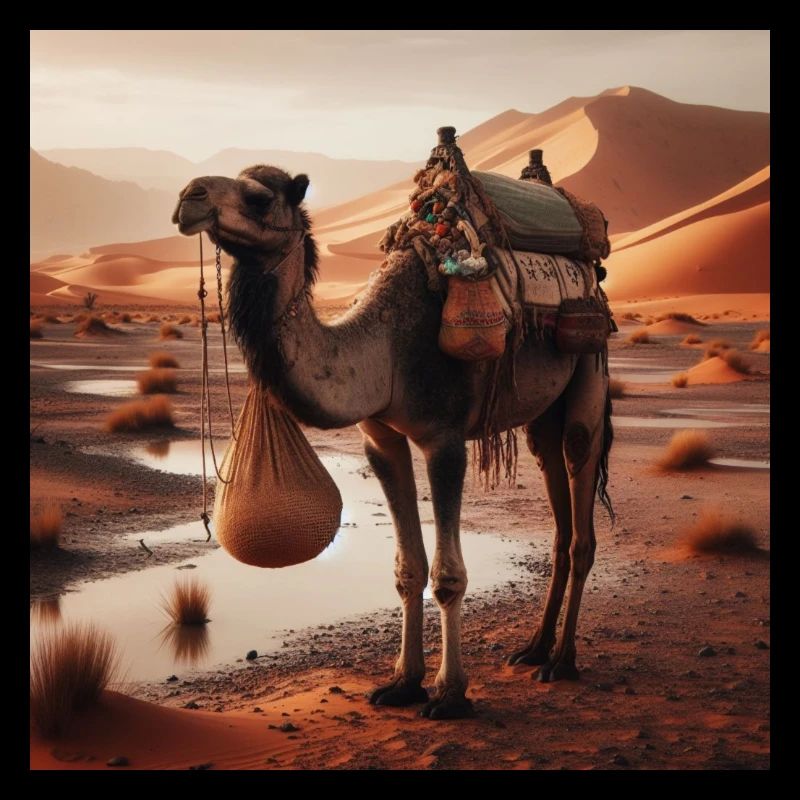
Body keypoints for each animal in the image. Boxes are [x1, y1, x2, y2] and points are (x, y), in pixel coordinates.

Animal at [172, 162, 613, 720]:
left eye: (258, 197)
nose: (189, 197)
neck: (384, 351)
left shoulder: (444, 438)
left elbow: (447, 576)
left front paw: (450, 694)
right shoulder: (381, 439)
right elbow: (408, 568)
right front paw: (404, 683)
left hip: (589, 363)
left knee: (580, 500)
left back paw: (561, 659)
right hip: (541, 414)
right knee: (554, 494)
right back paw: (533, 648)